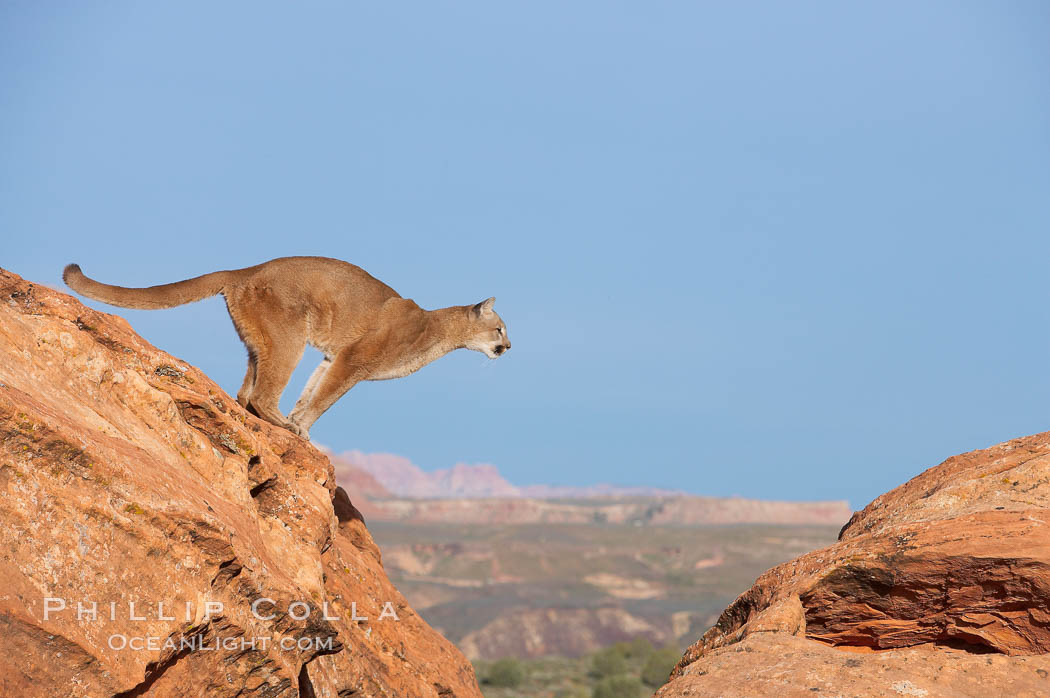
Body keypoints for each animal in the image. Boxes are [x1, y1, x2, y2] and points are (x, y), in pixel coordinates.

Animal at [63, 258, 510, 438]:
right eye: (500, 328)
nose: (508, 346)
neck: (434, 329)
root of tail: (244, 269)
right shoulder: (353, 360)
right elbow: (324, 397)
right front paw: (300, 427)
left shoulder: (333, 356)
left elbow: (312, 391)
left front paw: (300, 424)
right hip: (288, 338)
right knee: (261, 393)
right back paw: (279, 424)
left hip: (260, 341)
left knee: (247, 391)